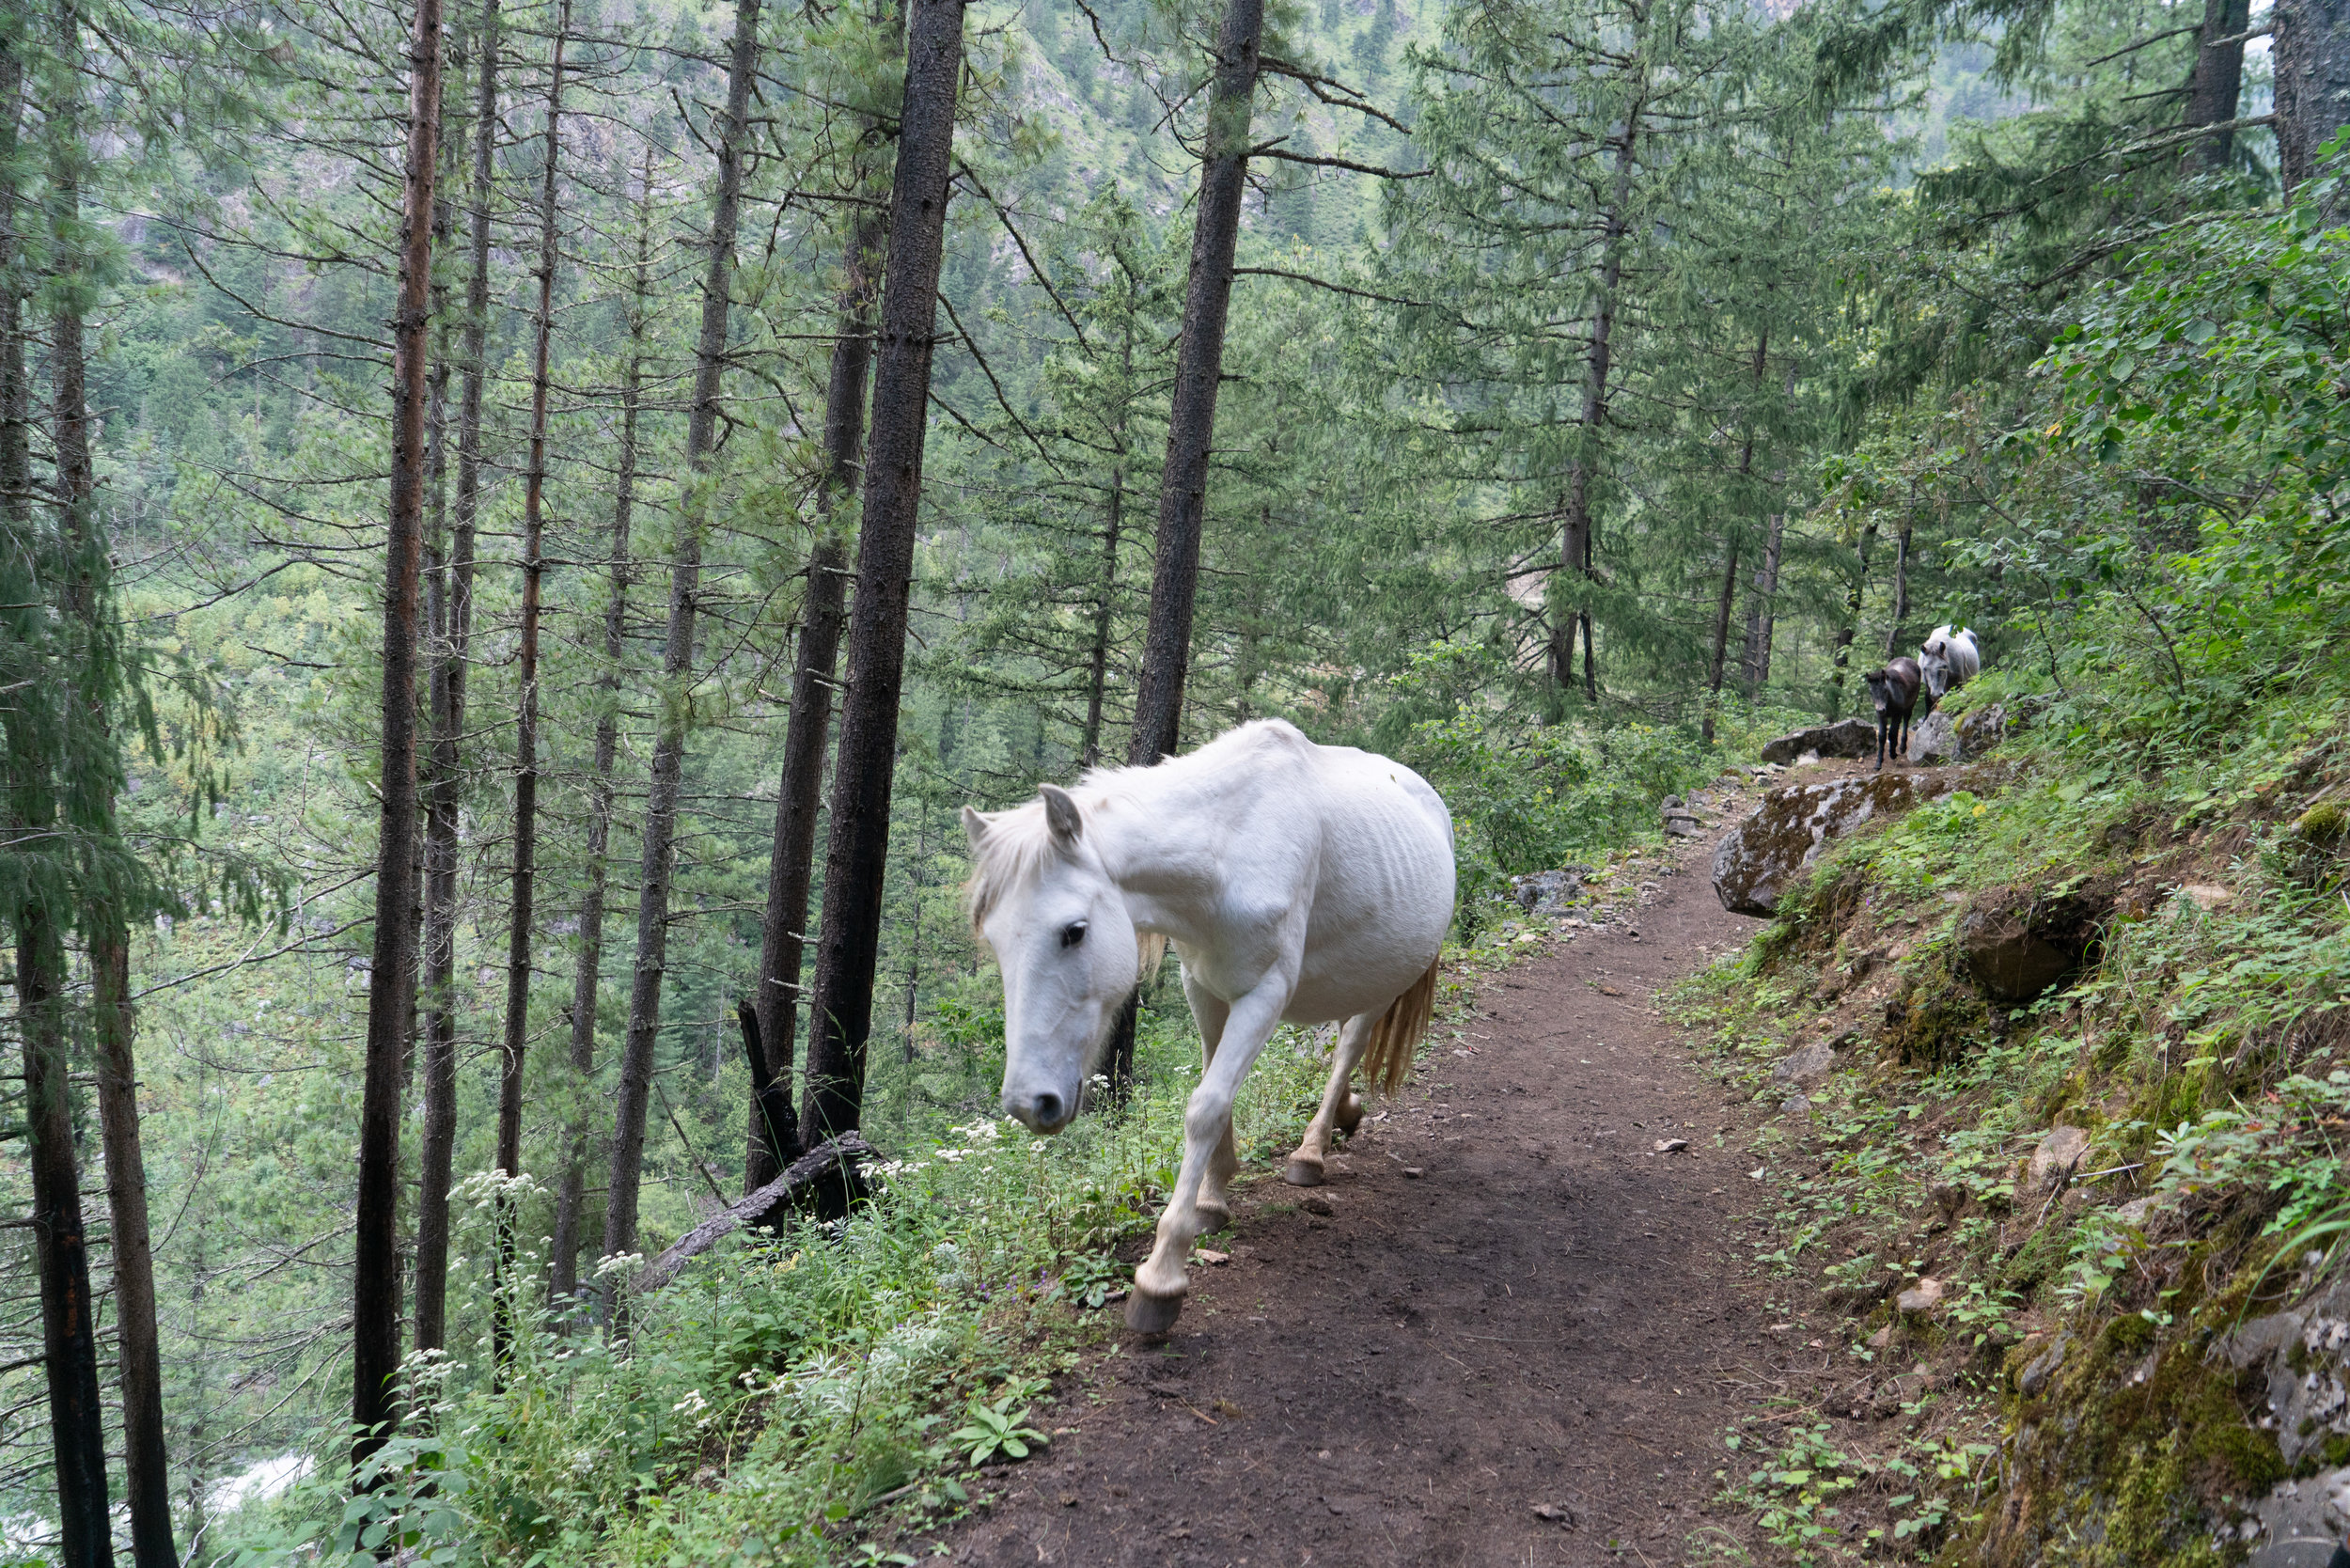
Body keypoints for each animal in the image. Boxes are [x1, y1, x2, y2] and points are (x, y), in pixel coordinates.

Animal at [959, 719, 1448, 1335]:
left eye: (1074, 931)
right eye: (995, 942)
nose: (1029, 1103)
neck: (1227, 849)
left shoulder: (1263, 995)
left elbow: (1206, 1107)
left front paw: (1162, 1274)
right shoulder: (1203, 986)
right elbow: (1218, 1090)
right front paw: (1212, 1200)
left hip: (1381, 986)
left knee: (1348, 1049)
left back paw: (1311, 1152)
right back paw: (1345, 1115)